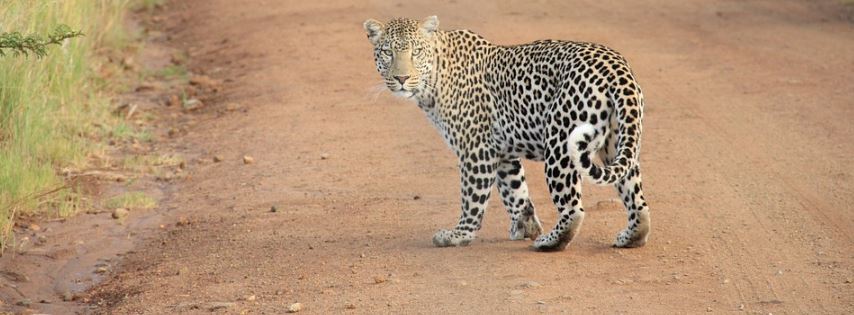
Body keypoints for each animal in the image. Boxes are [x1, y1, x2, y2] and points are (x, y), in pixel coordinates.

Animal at [364, 16, 652, 252]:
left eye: (416, 52)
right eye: (388, 52)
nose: (402, 78)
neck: (434, 79)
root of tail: (616, 67)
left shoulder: (476, 149)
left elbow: (472, 197)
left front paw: (459, 235)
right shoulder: (502, 151)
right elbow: (515, 191)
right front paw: (525, 226)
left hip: (560, 144)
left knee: (573, 209)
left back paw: (549, 242)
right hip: (617, 143)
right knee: (636, 198)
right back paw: (631, 236)